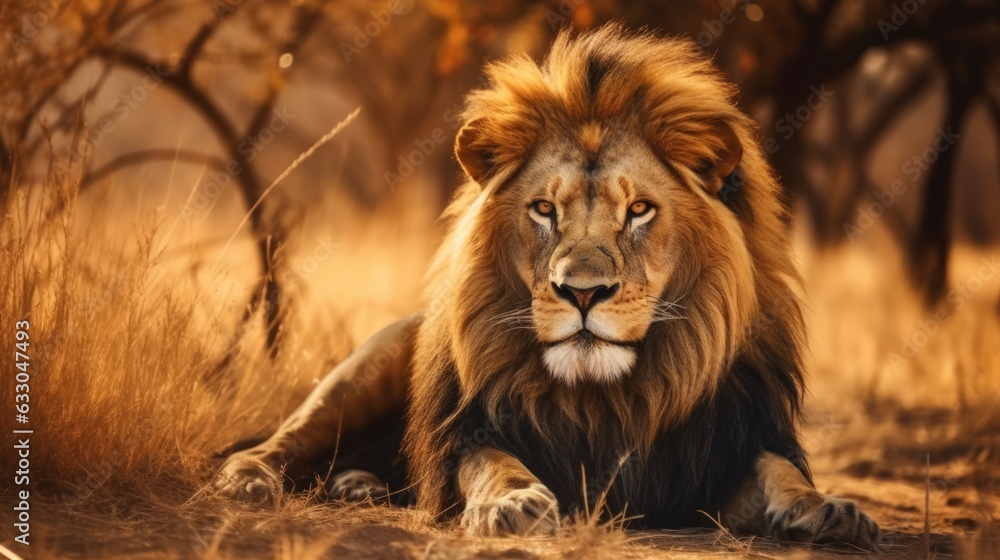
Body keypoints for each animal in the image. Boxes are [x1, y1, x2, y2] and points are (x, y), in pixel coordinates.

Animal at [215, 25, 880, 548]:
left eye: (639, 210)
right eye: (543, 210)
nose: (581, 293)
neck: (607, 397)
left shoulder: (719, 446)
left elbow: (780, 471)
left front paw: (829, 510)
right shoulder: (469, 430)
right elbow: (490, 462)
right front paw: (512, 503)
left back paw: (360, 485)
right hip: (364, 371)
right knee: (283, 440)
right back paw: (254, 478)